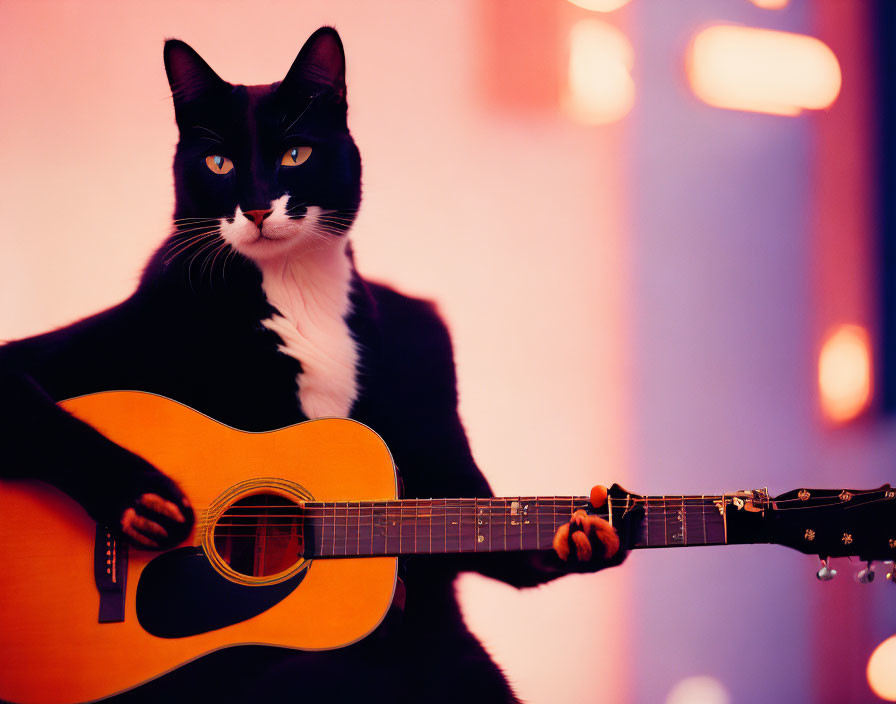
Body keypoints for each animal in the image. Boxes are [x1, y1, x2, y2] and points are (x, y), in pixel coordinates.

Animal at [0, 27, 620, 704]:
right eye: (219, 164)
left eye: (296, 154)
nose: (257, 208)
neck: (295, 288)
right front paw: (141, 503)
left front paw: (593, 530)